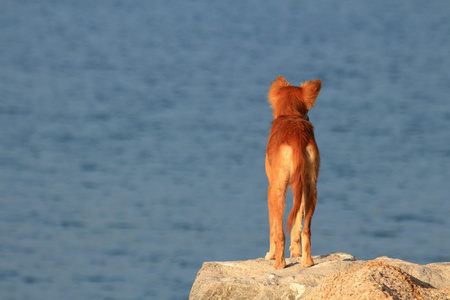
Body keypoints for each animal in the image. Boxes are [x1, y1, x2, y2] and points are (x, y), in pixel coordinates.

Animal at [262, 75, 322, 270]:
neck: (290, 115)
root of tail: (297, 136)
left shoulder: (270, 188)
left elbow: (272, 227)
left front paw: (271, 254)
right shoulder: (300, 187)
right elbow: (297, 222)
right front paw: (295, 252)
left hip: (278, 190)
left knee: (280, 232)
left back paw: (279, 263)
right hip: (311, 189)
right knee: (306, 230)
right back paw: (307, 262)